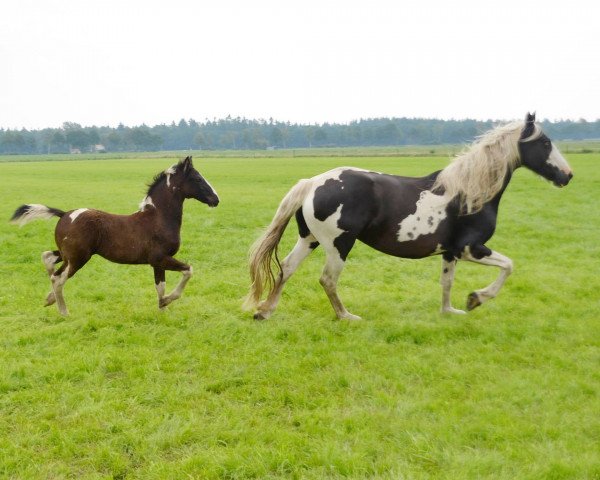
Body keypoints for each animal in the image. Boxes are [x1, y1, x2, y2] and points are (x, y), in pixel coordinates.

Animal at [10, 156, 218, 316]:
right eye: (198, 179)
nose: (216, 199)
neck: (158, 218)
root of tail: (65, 214)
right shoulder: (160, 258)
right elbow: (188, 270)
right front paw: (167, 301)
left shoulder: (157, 263)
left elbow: (160, 286)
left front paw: (162, 308)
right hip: (78, 258)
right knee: (58, 278)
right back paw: (63, 311)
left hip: (69, 254)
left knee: (48, 258)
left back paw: (49, 298)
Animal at [246, 114, 576, 320]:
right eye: (545, 143)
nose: (568, 176)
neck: (469, 194)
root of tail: (312, 183)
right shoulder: (470, 248)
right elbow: (508, 266)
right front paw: (476, 299)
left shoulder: (450, 252)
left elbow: (447, 283)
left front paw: (450, 312)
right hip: (339, 244)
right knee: (327, 279)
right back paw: (346, 316)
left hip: (310, 239)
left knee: (286, 269)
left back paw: (264, 311)